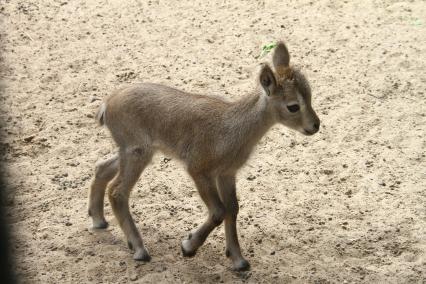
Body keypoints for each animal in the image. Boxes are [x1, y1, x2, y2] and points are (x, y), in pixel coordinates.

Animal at [87, 42, 320, 270]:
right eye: (293, 106)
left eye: (310, 94)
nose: (315, 125)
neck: (232, 129)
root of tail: (106, 105)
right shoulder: (198, 169)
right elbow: (218, 211)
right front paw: (188, 246)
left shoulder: (227, 173)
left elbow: (232, 209)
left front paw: (239, 261)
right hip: (137, 151)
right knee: (117, 191)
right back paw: (139, 250)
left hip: (132, 150)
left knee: (101, 168)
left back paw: (99, 220)